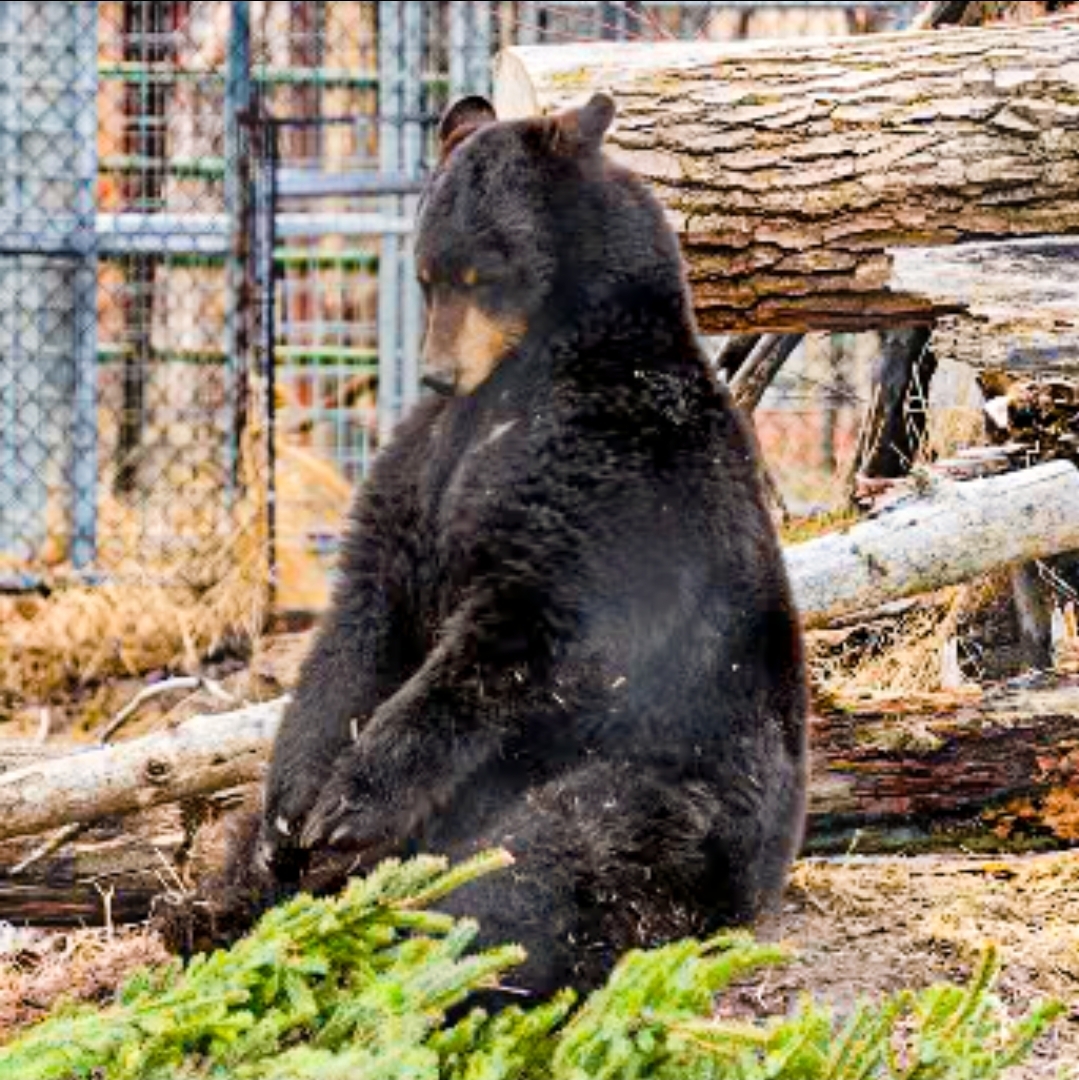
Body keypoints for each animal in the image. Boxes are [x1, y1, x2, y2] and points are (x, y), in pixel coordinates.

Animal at [253, 91, 808, 1000]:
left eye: (483, 272)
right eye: (425, 274)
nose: (437, 374)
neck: (531, 366)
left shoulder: (612, 461)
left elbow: (527, 633)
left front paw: (349, 808)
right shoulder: (423, 463)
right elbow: (365, 609)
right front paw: (293, 808)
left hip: (675, 789)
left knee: (550, 865)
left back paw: (441, 954)